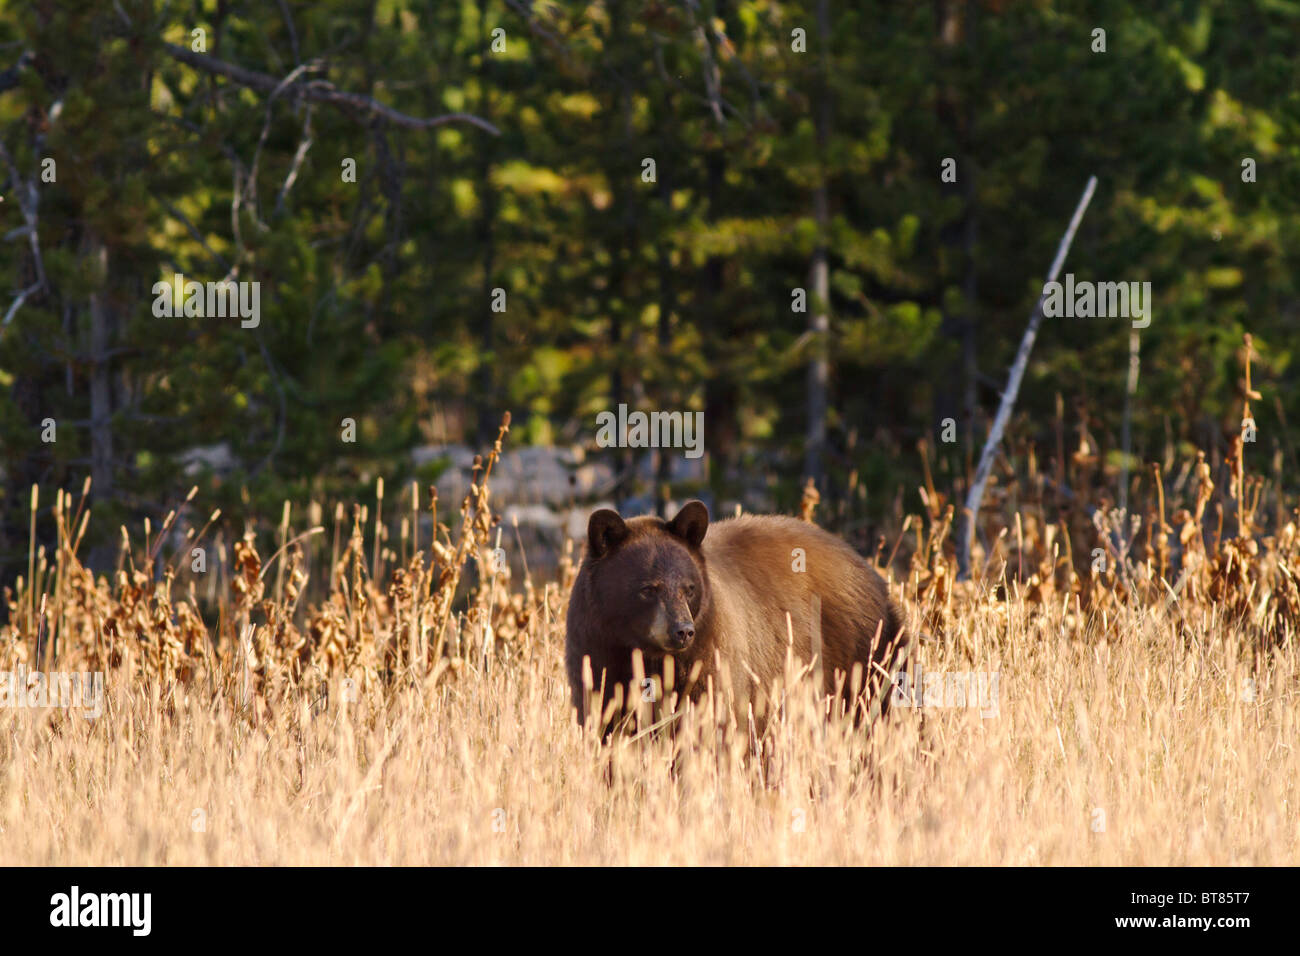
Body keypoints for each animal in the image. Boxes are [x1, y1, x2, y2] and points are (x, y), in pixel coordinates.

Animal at [564, 499, 907, 732]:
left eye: (689, 588)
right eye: (648, 588)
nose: (682, 630)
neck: (647, 656)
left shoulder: (711, 661)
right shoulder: (596, 654)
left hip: (865, 656)